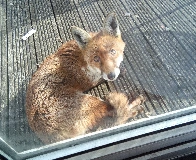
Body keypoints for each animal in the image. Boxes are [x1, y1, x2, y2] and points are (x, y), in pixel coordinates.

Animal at [25, 12, 145, 144]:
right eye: (96, 58)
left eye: (113, 52)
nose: (112, 75)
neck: (82, 59)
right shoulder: (90, 81)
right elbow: (101, 78)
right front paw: (120, 72)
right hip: (92, 102)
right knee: (116, 113)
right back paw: (132, 107)